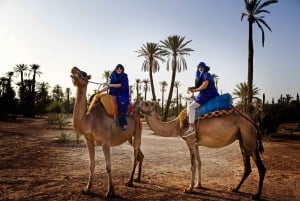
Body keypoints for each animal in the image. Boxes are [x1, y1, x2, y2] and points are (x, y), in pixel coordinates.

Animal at [69, 66, 144, 197]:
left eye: (83, 73)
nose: (73, 68)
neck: (91, 120)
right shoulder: (88, 140)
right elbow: (91, 165)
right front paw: (87, 189)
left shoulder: (105, 142)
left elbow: (108, 166)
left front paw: (110, 192)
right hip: (130, 138)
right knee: (140, 155)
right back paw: (137, 179)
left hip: (137, 131)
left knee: (135, 156)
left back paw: (129, 182)